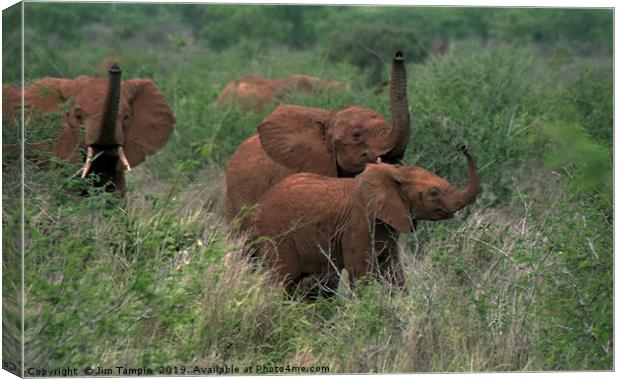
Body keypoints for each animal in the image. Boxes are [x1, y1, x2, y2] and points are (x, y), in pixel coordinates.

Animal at [252, 145, 480, 296]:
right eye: (433, 193)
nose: (464, 147)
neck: (392, 176)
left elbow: (394, 271)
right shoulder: (358, 224)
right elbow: (361, 274)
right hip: (276, 234)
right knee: (280, 281)